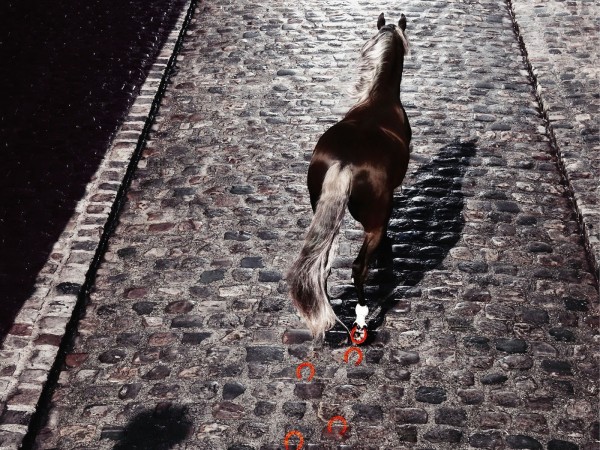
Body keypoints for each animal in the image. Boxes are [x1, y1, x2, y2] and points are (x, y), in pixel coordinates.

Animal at [288, 12, 410, 340]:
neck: (379, 98)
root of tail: (345, 162)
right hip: (373, 223)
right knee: (358, 268)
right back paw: (362, 318)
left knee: (322, 267)